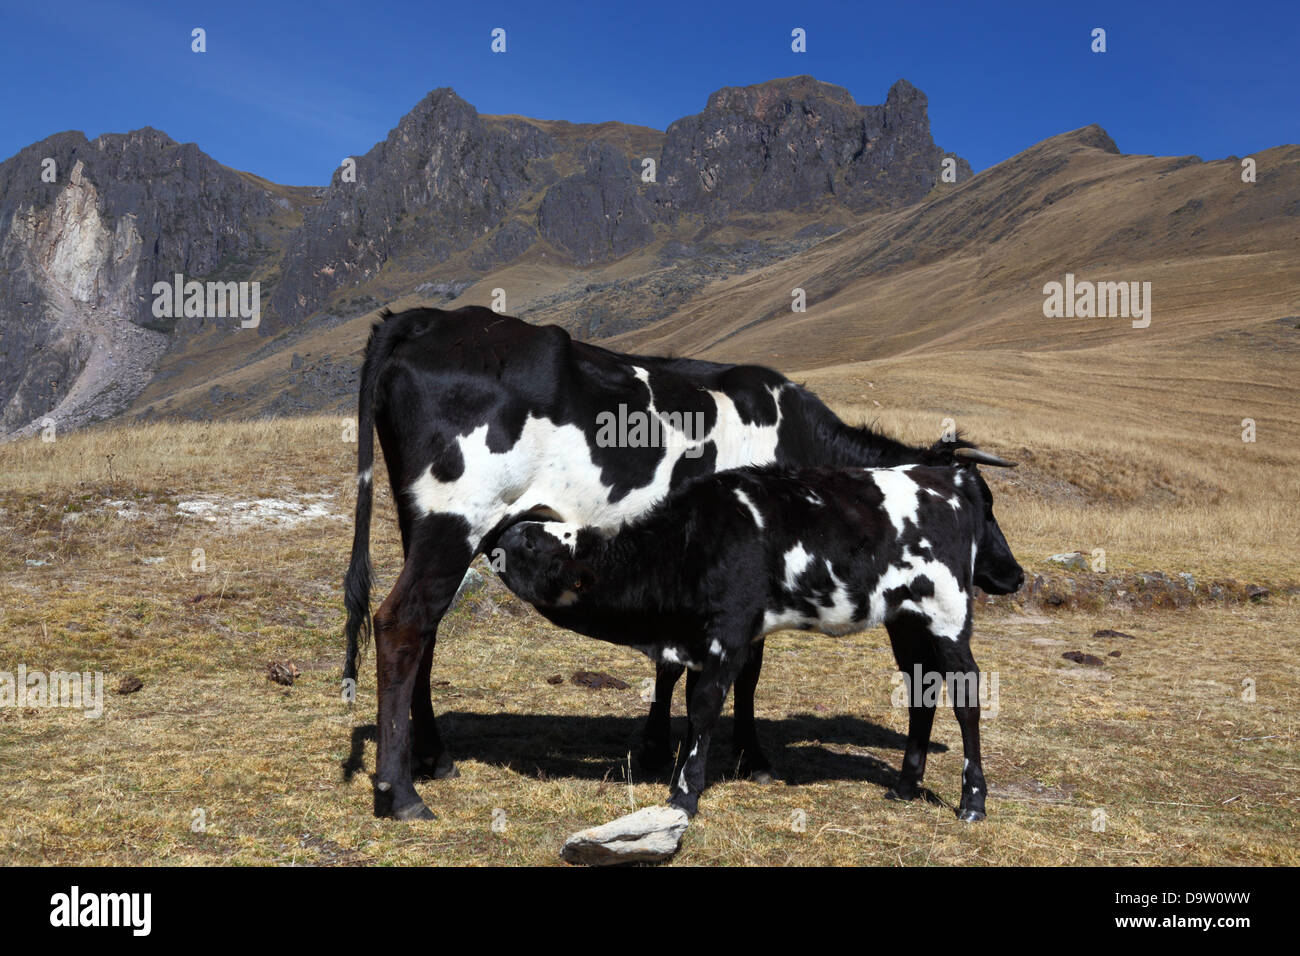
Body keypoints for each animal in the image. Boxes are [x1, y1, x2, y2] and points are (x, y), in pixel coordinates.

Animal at [491, 460, 1019, 816]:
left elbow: (705, 705)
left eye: (530, 543)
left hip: (947, 612)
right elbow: (689, 701)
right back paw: (906, 787)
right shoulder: (701, 642)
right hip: (906, 621)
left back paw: (973, 801)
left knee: (966, 693)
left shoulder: (730, 629)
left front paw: (685, 793)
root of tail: (948, 476)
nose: (495, 537)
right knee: (920, 690)